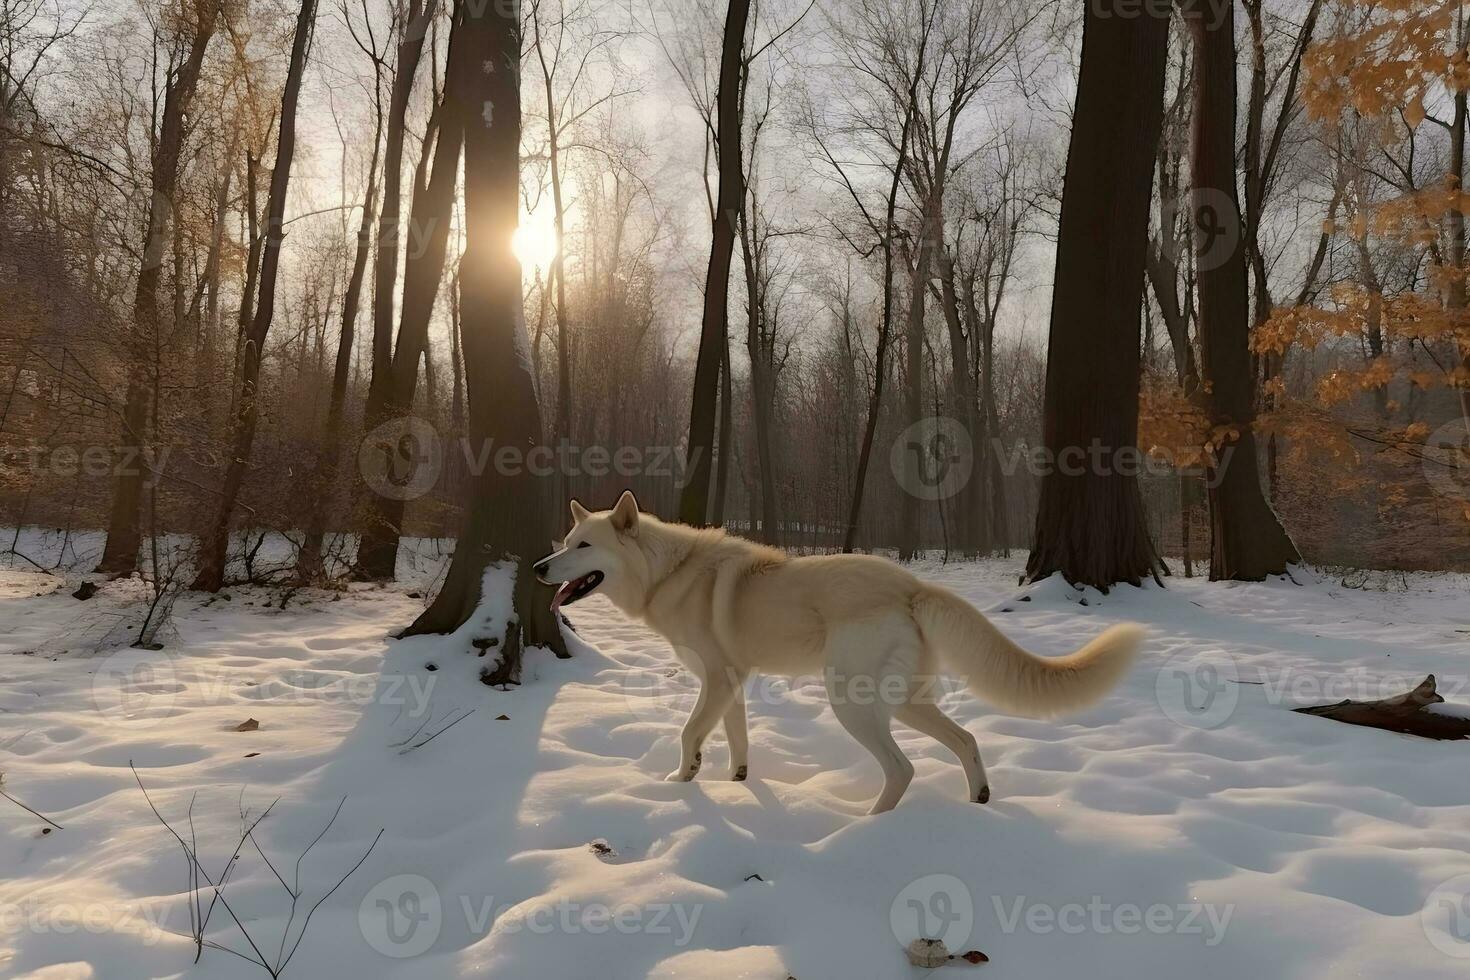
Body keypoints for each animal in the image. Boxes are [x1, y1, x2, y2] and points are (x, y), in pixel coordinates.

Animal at [535, 493, 1140, 816]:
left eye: (583, 547)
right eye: (564, 543)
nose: (539, 567)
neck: (668, 573)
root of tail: (911, 585)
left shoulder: (717, 680)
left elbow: (688, 736)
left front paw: (680, 783)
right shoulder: (730, 686)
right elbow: (737, 741)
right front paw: (738, 783)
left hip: (851, 704)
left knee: (902, 768)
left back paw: (868, 826)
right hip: (905, 704)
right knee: (966, 740)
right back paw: (978, 801)